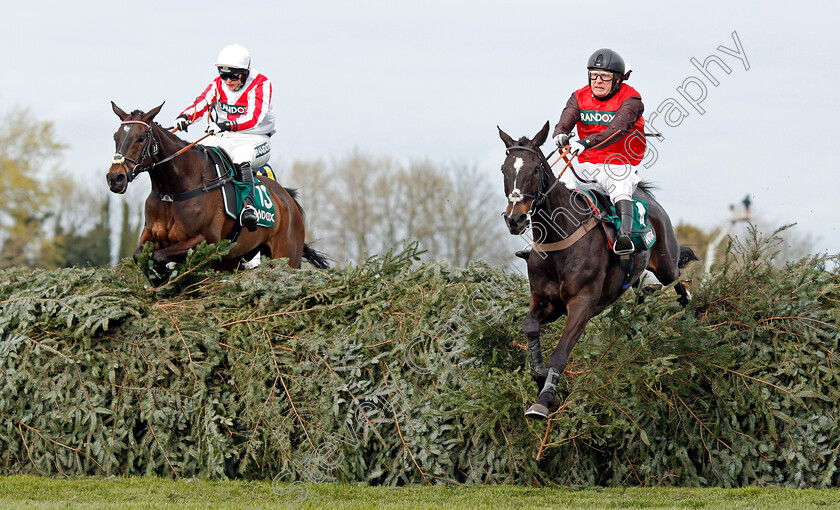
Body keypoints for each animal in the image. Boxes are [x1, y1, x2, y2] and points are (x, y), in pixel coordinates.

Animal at [106, 101, 328, 272]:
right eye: (116, 136)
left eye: (141, 138)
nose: (115, 178)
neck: (174, 190)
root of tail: (288, 198)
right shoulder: (151, 236)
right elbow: (139, 255)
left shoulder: (207, 241)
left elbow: (159, 256)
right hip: (232, 258)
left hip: (287, 256)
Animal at [498, 122, 696, 418]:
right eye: (504, 169)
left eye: (535, 170)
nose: (515, 219)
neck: (559, 238)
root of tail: (645, 195)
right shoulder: (546, 301)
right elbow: (530, 326)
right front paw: (539, 374)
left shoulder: (582, 304)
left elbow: (561, 353)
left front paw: (545, 398)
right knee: (641, 292)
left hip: (666, 263)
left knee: (680, 286)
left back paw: (686, 311)